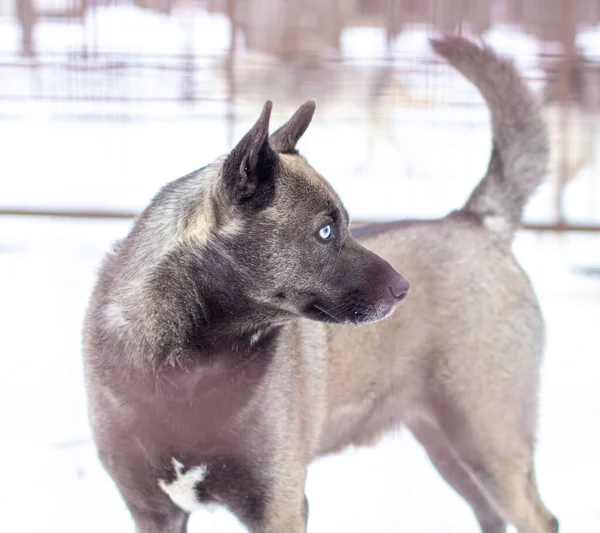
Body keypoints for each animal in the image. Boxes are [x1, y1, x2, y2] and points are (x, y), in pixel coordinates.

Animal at [83, 37, 556, 532]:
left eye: (345, 224)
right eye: (326, 231)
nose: (403, 289)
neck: (188, 366)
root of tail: (476, 221)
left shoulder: (280, 505)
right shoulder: (154, 512)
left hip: (488, 443)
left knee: (538, 518)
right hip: (450, 449)